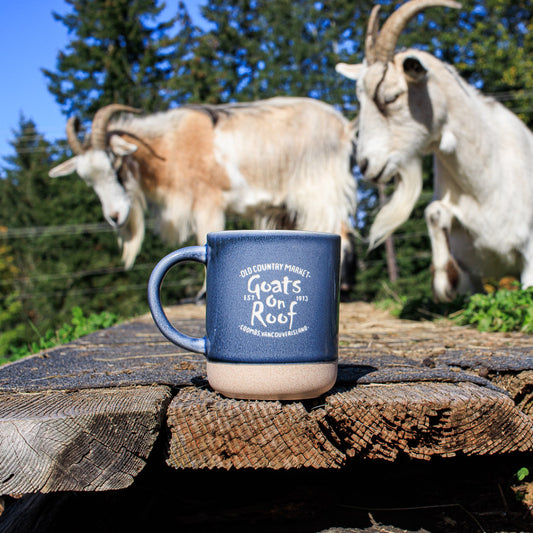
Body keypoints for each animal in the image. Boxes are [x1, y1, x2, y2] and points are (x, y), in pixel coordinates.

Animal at [48, 97, 358, 294]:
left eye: (116, 165)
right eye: (87, 180)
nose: (114, 217)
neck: (169, 146)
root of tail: (343, 126)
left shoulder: (207, 199)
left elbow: (203, 235)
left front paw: (203, 293)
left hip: (319, 187)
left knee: (339, 227)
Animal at [336, 0, 533, 300]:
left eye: (391, 97)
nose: (365, 164)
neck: (485, 186)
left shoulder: (529, 259)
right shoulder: (471, 272)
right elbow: (434, 211)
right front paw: (443, 278)